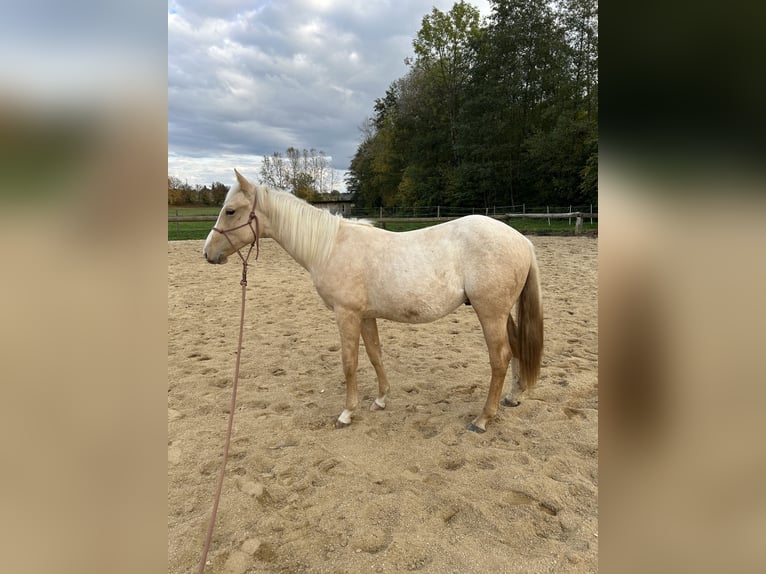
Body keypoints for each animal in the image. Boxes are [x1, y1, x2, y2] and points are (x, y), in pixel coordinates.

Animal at [203, 170, 543, 433]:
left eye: (230, 210)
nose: (208, 253)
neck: (330, 246)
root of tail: (521, 239)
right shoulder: (366, 316)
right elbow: (375, 355)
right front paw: (380, 399)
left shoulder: (346, 314)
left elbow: (349, 363)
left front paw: (347, 413)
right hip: (502, 313)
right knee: (515, 348)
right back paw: (513, 397)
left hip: (490, 313)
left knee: (500, 358)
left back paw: (483, 418)